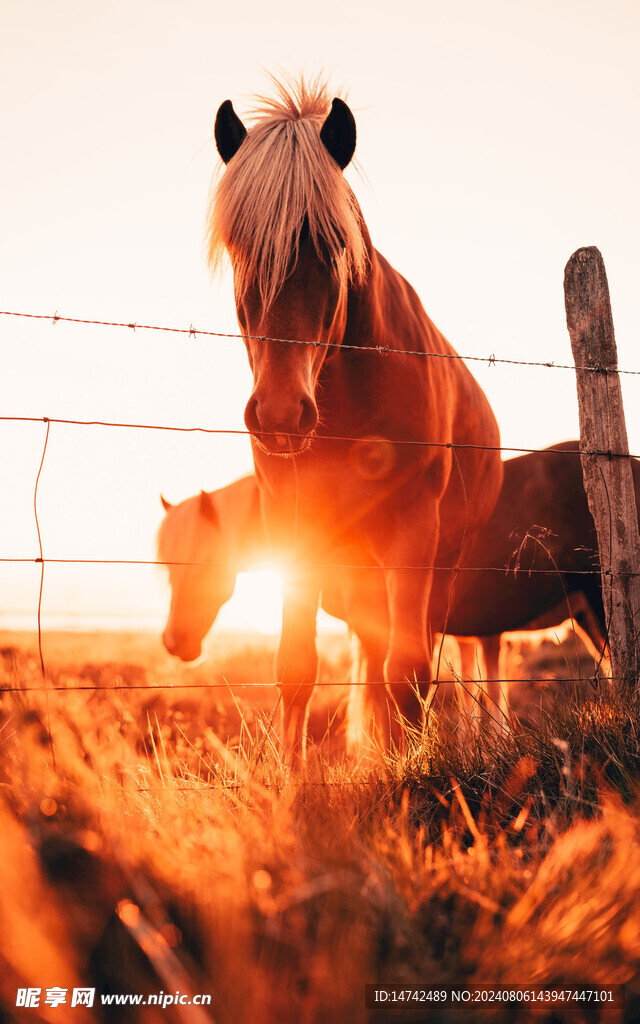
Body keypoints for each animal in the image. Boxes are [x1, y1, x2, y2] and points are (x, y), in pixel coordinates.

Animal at [206, 76, 503, 757]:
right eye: (239, 246)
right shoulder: (297, 531)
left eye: (333, 244)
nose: (281, 413)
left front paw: (410, 771)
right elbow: (296, 668)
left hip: (437, 565)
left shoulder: (414, 530)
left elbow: (411, 673)